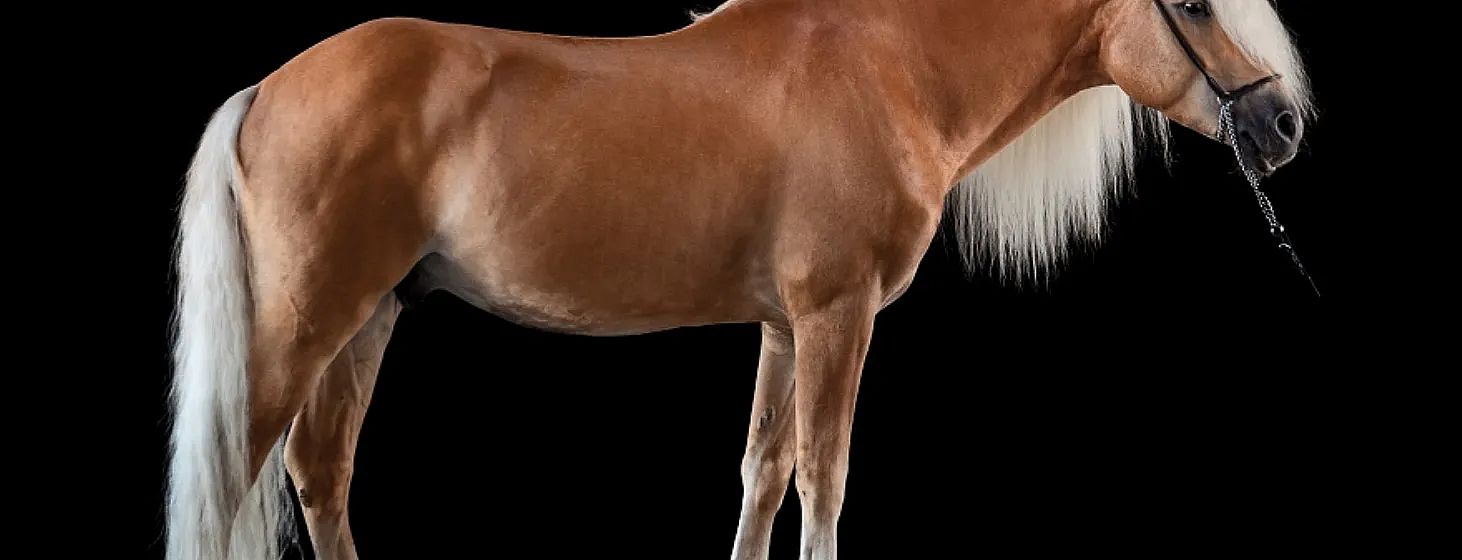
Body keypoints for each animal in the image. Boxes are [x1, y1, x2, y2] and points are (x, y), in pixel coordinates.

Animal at [167, 1, 1312, 558]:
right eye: (1196, 0)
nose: (1283, 125)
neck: (886, 64)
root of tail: (264, 88)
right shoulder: (837, 315)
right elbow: (823, 479)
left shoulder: (783, 325)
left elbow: (762, 470)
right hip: (304, 325)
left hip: (368, 320)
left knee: (320, 475)